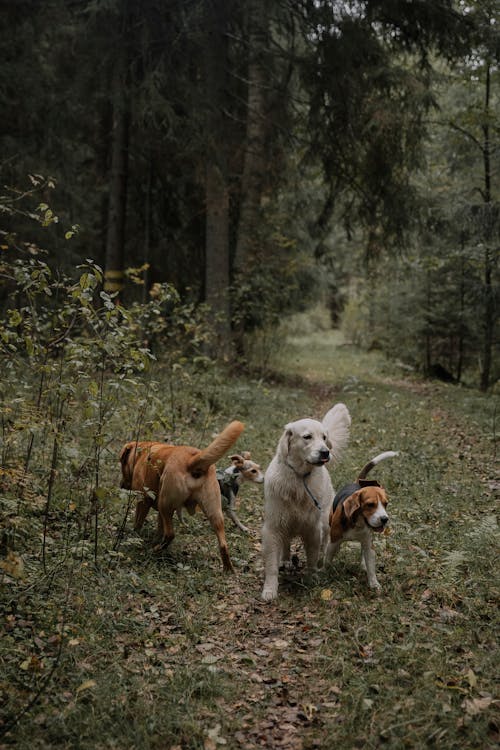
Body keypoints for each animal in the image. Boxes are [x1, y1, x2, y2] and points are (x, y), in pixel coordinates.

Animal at [121, 420, 246, 572]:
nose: (121, 484)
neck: (142, 453)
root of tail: (192, 460)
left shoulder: (143, 500)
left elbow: (138, 522)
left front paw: (134, 535)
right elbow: (159, 529)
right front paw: (154, 539)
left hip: (165, 505)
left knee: (170, 534)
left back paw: (155, 550)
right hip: (214, 512)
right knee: (223, 544)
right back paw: (228, 569)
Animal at [262, 402, 352, 604]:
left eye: (324, 437)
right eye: (307, 437)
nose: (325, 452)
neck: (299, 478)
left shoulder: (312, 528)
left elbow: (311, 556)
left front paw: (312, 578)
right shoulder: (274, 526)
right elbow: (271, 565)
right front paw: (270, 590)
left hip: (325, 521)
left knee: (324, 543)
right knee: (286, 544)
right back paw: (285, 560)